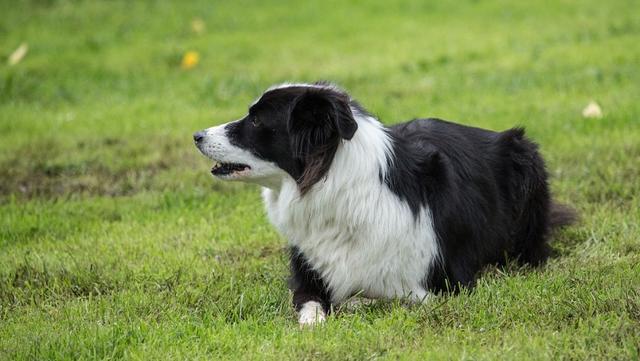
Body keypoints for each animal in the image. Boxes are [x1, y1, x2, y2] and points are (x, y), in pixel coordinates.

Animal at [192, 83, 576, 324]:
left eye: (257, 120)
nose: (197, 135)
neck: (341, 191)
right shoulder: (308, 273)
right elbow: (310, 307)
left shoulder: (444, 283)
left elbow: (384, 297)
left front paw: (355, 302)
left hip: (525, 158)